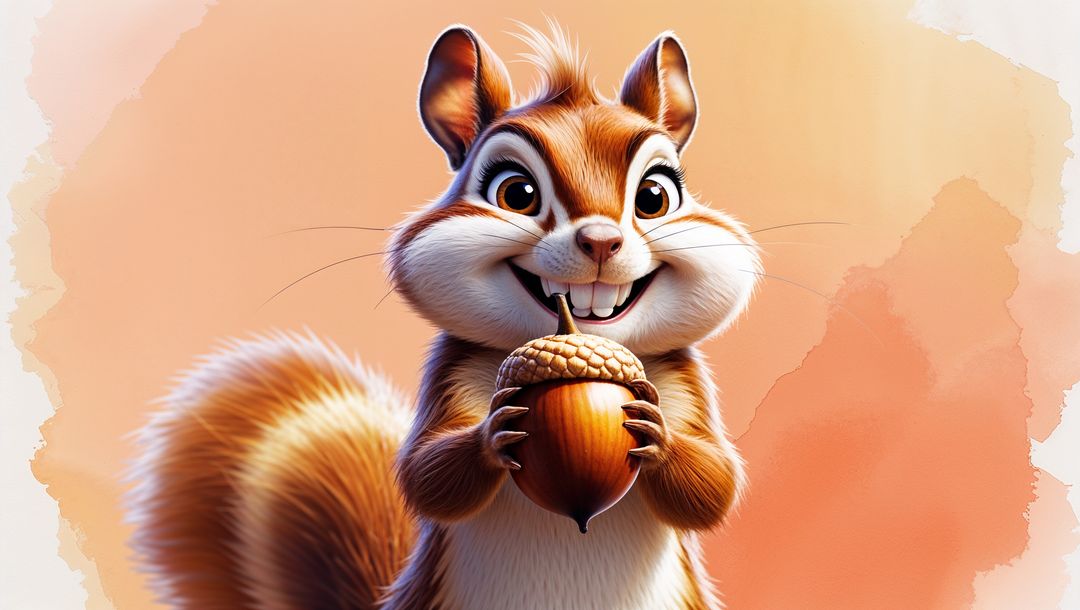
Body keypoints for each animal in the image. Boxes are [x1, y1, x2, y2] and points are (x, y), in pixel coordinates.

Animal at [128, 22, 760, 610]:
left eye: (656, 197)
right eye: (515, 192)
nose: (601, 241)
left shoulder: (683, 381)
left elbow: (714, 486)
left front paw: (659, 434)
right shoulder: (451, 372)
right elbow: (426, 477)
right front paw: (491, 433)